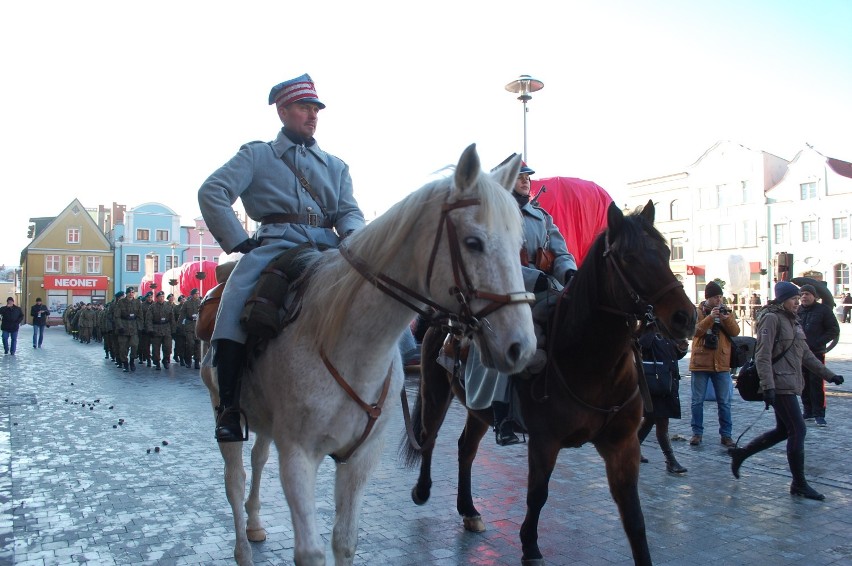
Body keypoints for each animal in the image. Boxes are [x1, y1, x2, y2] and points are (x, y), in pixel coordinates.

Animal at [201, 144, 532, 564]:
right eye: (473, 242)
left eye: (519, 244)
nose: (521, 346)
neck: (348, 346)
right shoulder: (297, 456)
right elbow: (310, 552)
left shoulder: (361, 459)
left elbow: (345, 541)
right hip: (223, 411)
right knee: (235, 480)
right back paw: (243, 548)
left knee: (258, 460)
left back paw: (256, 522)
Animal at [402, 202, 696, 564]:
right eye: (628, 257)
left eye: (666, 252)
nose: (686, 317)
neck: (592, 363)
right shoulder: (545, 441)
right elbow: (537, 494)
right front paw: (530, 547)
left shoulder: (622, 445)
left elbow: (634, 517)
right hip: (436, 392)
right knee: (428, 437)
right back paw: (422, 490)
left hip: (478, 408)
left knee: (465, 449)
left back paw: (469, 510)